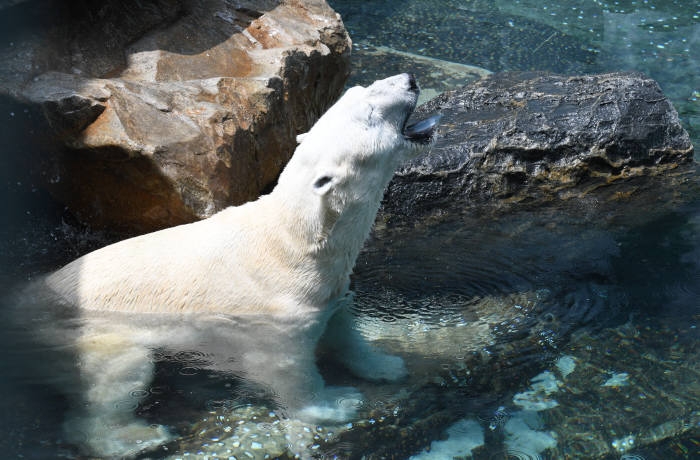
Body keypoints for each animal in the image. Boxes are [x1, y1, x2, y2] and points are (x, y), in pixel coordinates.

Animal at [30, 73, 440, 456]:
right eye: (368, 112)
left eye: (359, 90)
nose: (409, 80)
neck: (292, 244)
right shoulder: (276, 314)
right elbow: (285, 370)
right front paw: (335, 405)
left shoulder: (329, 291)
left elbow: (344, 329)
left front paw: (386, 366)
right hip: (88, 338)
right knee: (119, 376)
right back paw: (137, 437)